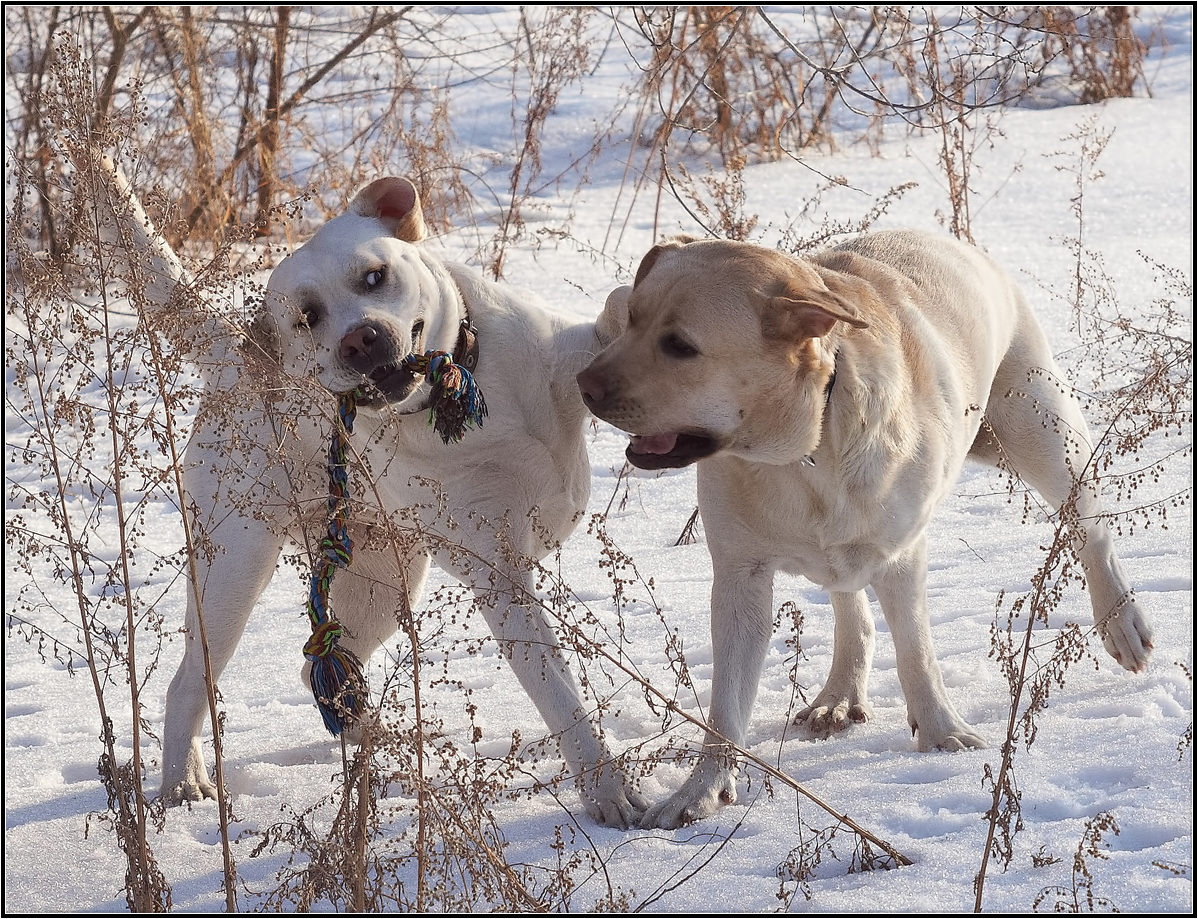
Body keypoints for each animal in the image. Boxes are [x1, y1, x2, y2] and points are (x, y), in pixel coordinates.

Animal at [89, 161, 646, 829]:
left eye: (374, 276)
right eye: (307, 317)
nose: (360, 340)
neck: (465, 391)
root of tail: (239, 361)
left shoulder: (567, 357)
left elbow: (610, 320)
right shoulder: (499, 578)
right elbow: (562, 701)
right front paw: (610, 795)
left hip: (384, 584)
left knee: (318, 669)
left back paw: (381, 736)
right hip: (233, 574)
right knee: (187, 687)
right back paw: (182, 786)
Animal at [575, 227, 1154, 824]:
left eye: (680, 346)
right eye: (633, 318)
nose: (582, 385)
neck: (806, 445)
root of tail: (945, 237)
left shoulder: (901, 553)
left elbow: (917, 650)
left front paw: (943, 734)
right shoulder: (741, 575)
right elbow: (727, 704)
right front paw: (701, 791)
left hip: (1039, 432)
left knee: (1091, 527)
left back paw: (1122, 623)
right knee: (850, 605)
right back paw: (839, 694)